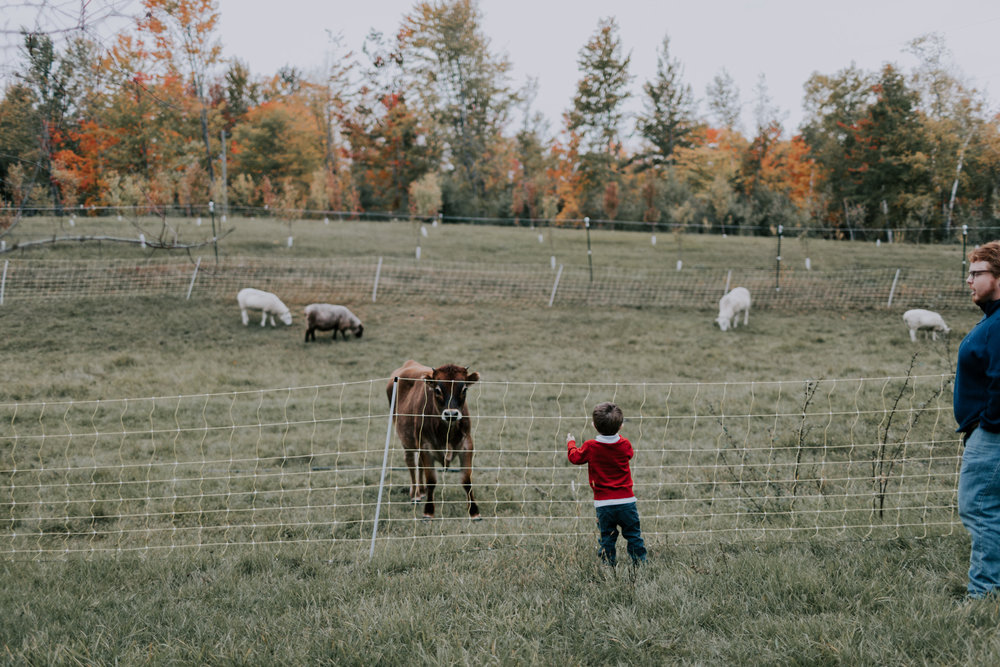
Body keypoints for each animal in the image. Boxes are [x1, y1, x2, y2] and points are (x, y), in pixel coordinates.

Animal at [386, 360, 480, 520]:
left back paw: (421, 491)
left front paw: (474, 511)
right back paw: (416, 495)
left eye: (464, 389)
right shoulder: (425, 445)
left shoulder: (467, 444)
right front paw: (428, 511)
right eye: (437, 390)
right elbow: (431, 480)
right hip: (406, 439)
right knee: (411, 463)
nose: (451, 414)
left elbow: (466, 480)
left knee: (418, 464)